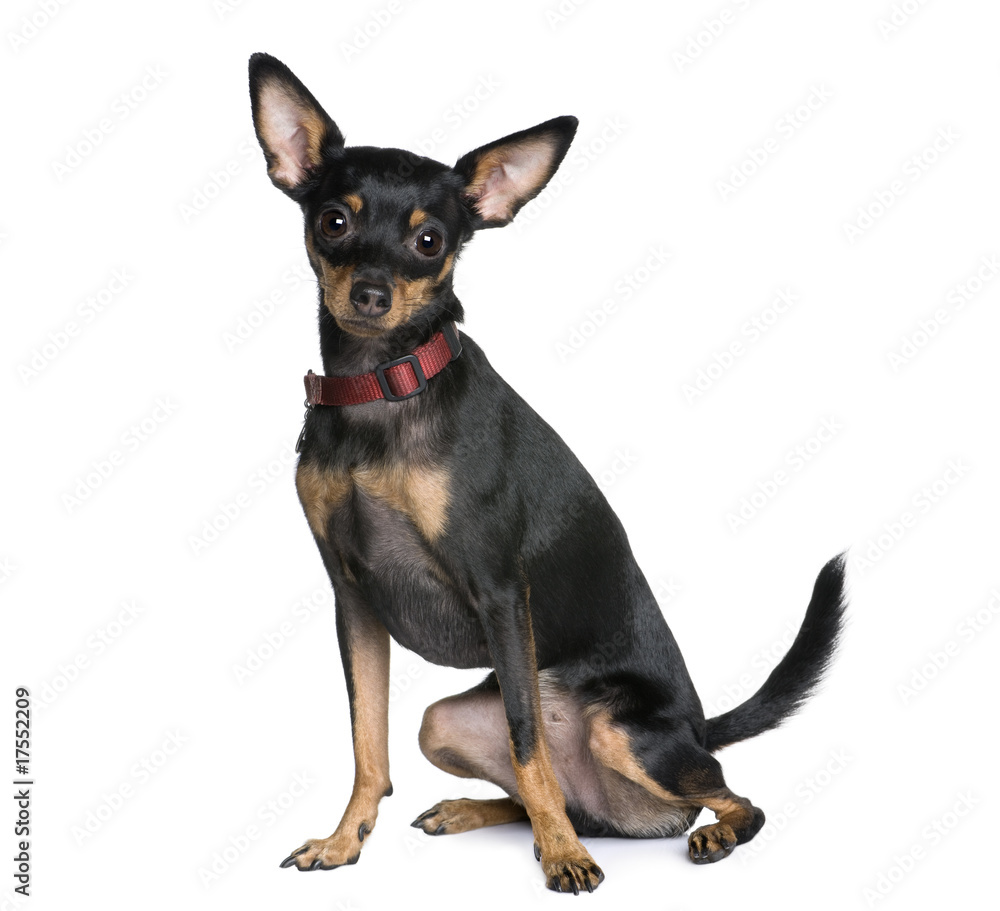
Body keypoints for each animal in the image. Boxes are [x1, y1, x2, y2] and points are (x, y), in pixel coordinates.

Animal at [248, 53, 844, 896]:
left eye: (429, 240)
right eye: (334, 221)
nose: (370, 291)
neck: (381, 390)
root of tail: (696, 724)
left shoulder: (501, 592)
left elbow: (526, 737)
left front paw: (562, 857)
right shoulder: (354, 601)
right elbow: (369, 739)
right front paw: (344, 840)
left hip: (626, 731)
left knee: (728, 798)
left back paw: (681, 834)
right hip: (444, 723)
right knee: (562, 796)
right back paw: (485, 812)